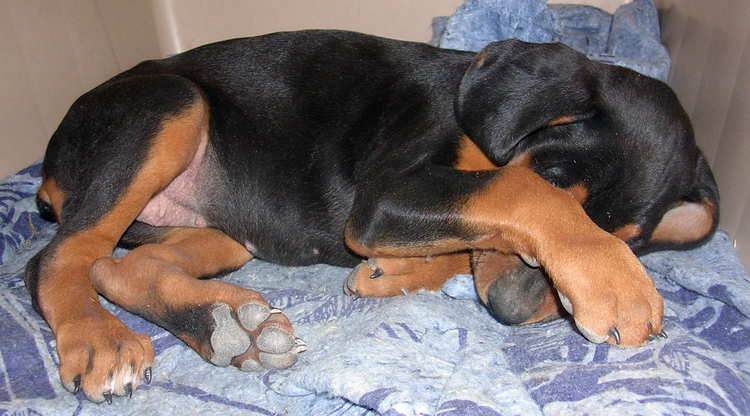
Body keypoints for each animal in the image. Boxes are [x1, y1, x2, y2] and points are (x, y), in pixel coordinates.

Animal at [26, 30, 724, 404]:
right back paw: (99, 339)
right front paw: (617, 286)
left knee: (116, 267)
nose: (507, 313)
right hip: (166, 106)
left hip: (221, 234)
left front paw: (393, 274)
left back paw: (232, 330)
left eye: (635, 238)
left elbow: (465, 233)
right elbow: (512, 193)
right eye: (554, 177)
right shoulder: (387, 193)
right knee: (58, 258)